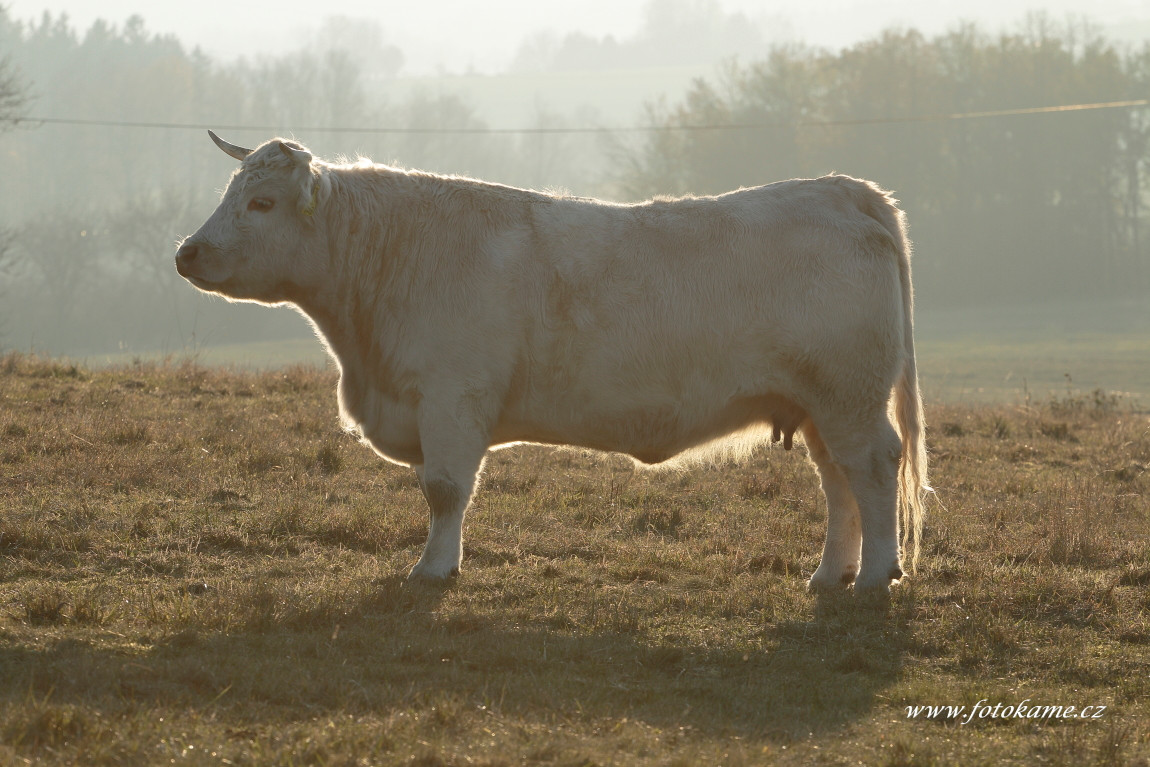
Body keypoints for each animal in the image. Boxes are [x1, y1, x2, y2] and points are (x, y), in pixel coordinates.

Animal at [181, 132, 933, 593]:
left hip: (850, 399)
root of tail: (839, 187)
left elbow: (444, 490)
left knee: (871, 469)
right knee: (838, 483)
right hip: (820, 405)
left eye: (261, 202)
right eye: (230, 194)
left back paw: (876, 574)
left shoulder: (452, 399)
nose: (187, 253)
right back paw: (830, 573)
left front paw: (434, 568)